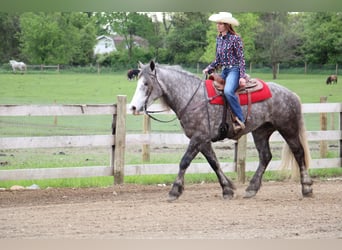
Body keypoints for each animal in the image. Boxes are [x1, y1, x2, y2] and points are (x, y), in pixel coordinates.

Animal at [130, 60, 314, 201]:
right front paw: (227, 189)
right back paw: (251, 189)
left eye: (146, 84)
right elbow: (214, 162)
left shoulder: (198, 137)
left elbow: (184, 162)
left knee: (298, 152)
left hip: (288, 128)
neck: (192, 97)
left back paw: (306, 188)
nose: (133, 107)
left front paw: (174, 191)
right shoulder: (203, 140)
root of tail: (290, 94)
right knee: (265, 156)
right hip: (261, 131)